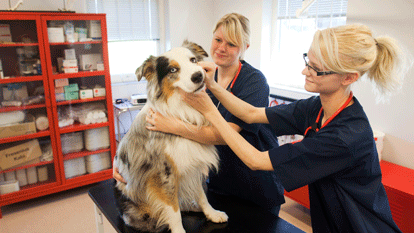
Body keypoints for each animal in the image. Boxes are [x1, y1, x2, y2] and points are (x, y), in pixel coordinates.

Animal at [112, 41, 230, 232]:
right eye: (173, 70)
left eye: (193, 60)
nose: (198, 76)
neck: (182, 110)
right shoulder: (164, 174)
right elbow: (173, 211)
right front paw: (178, 229)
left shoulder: (193, 164)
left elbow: (201, 195)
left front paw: (212, 213)